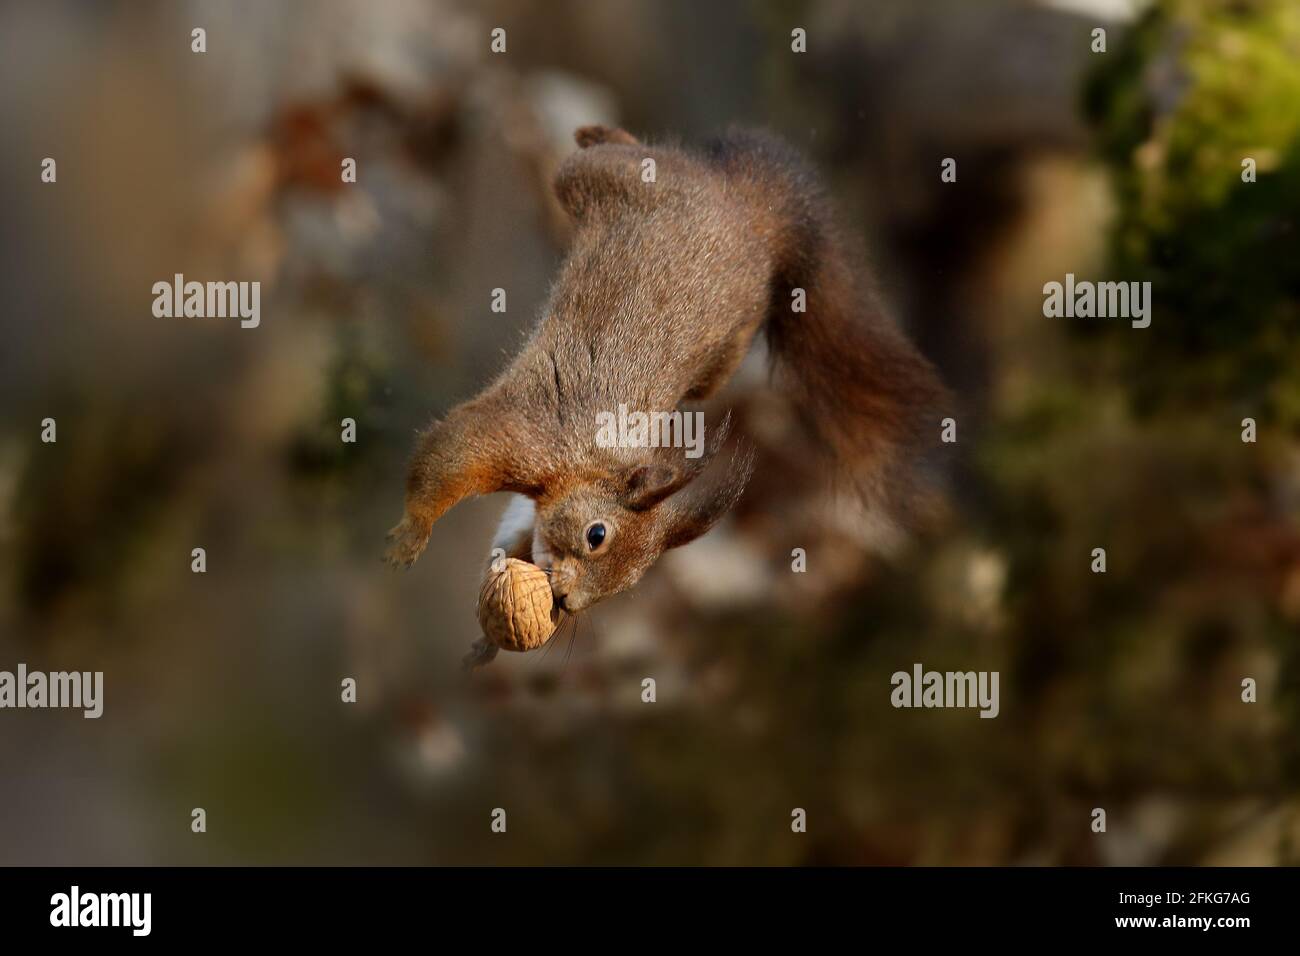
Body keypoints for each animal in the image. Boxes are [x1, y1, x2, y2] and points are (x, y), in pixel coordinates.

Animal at [385, 125, 949, 613]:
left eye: (633, 581)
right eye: (596, 535)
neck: (590, 464)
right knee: (611, 156)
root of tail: (746, 212)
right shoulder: (525, 437)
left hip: (724, 351)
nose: (568, 603)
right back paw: (599, 133)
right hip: (607, 180)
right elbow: (450, 456)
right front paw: (412, 535)